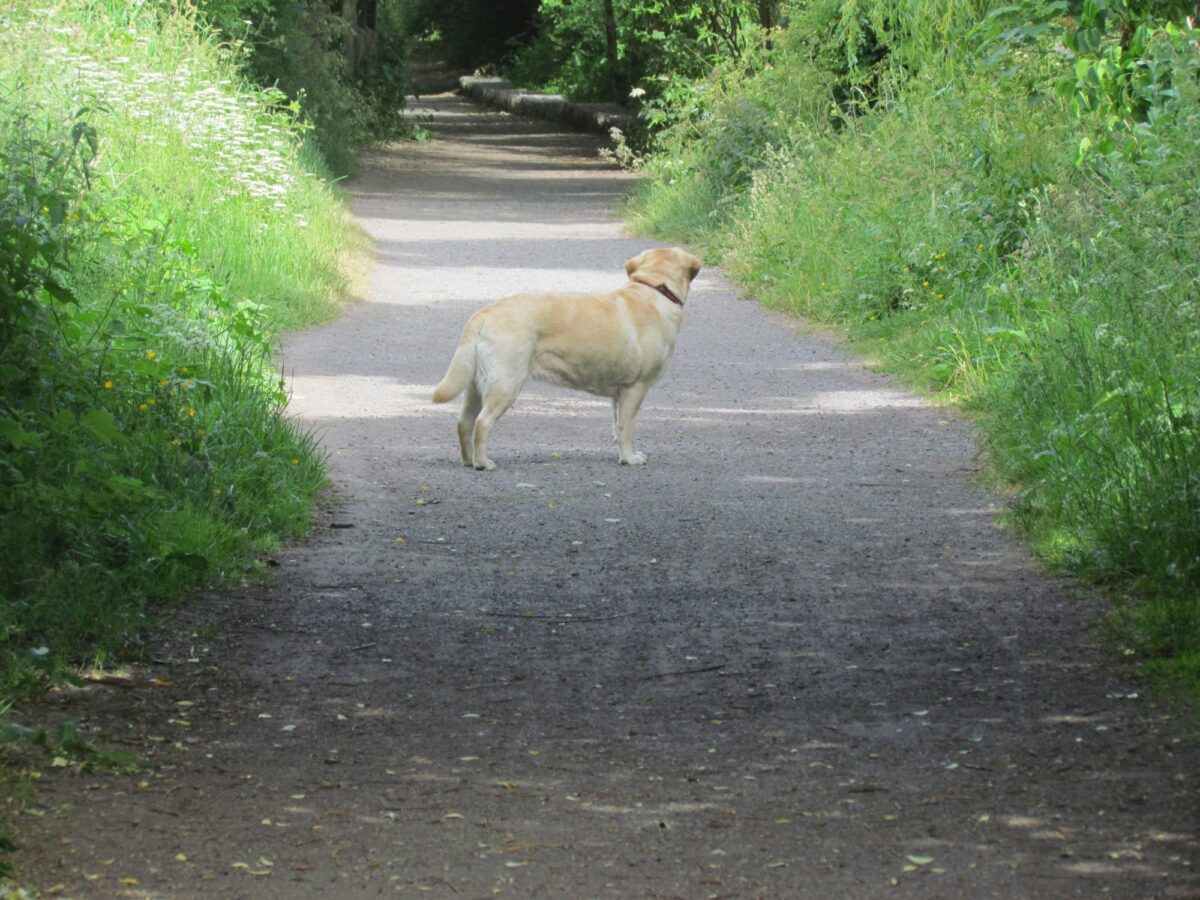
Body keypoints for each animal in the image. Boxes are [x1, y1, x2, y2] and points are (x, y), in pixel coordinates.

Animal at [432, 247, 700, 472]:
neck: (656, 288)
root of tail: (485, 313)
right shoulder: (636, 387)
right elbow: (626, 430)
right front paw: (631, 458)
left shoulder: (618, 394)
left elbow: (616, 427)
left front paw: (623, 456)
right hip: (506, 383)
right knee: (482, 423)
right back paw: (483, 463)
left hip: (475, 385)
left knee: (464, 423)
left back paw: (468, 461)